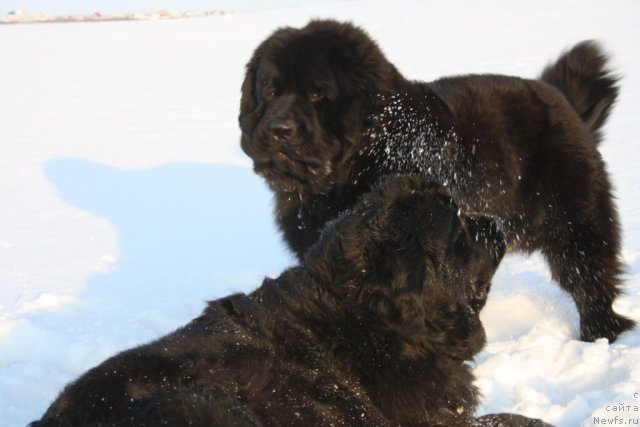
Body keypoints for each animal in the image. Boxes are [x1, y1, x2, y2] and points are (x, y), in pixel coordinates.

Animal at [239, 20, 636, 342]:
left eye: (316, 94)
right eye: (271, 92)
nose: (279, 129)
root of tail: (558, 95)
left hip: (575, 219)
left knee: (590, 274)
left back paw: (600, 331)